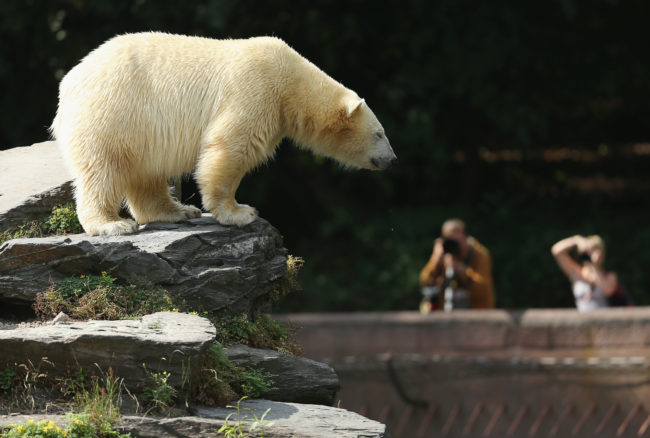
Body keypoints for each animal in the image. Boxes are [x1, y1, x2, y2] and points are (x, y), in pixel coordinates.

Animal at [50, 32, 394, 236]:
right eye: (379, 134)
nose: (392, 159)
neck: (290, 81)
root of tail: (68, 82)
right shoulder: (255, 90)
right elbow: (231, 147)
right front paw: (241, 212)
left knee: (146, 174)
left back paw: (176, 211)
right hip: (112, 114)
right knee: (103, 170)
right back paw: (113, 224)